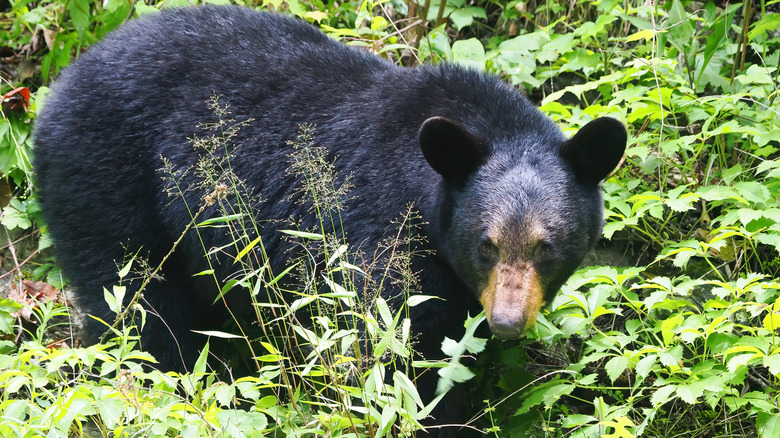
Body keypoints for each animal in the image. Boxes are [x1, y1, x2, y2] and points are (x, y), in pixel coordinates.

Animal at [33, 4, 626, 426]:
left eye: (546, 246)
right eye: (487, 244)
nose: (506, 322)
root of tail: (57, 89)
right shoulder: (379, 231)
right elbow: (384, 348)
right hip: (104, 183)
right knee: (137, 305)